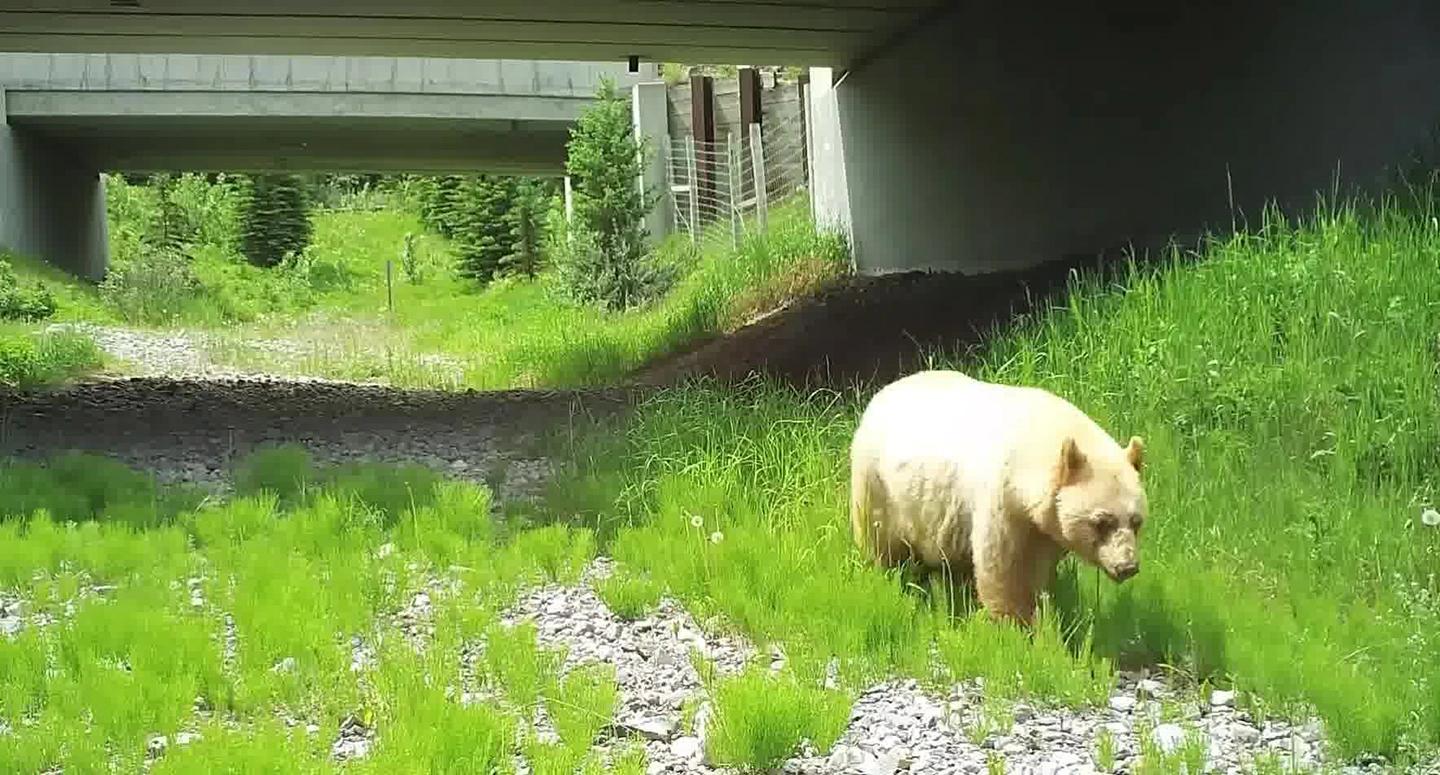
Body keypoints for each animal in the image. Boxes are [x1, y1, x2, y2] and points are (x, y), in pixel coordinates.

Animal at [848, 369, 1147, 625]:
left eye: (1136, 521)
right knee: (881, 541)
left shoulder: (1044, 526)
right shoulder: (1004, 500)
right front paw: (1018, 624)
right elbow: (1004, 569)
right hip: (878, 486)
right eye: (1102, 521)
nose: (1128, 566)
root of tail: (883, 393)